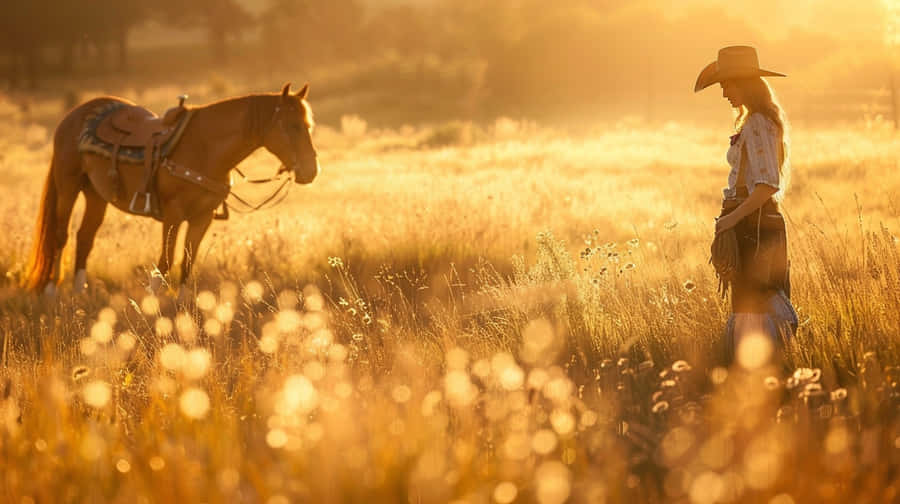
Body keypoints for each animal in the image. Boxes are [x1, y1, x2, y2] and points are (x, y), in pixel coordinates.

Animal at [22, 83, 319, 295]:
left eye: (308, 125)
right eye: (292, 126)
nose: (311, 171)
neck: (203, 148)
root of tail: (74, 115)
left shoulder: (202, 218)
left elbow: (187, 262)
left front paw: (184, 311)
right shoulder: (173, 215)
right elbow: (165, 261)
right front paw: (150, 310)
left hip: (96, 195)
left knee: (85, 237)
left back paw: (79, 293)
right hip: (68, 186)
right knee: (60, 236)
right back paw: (51, 291)